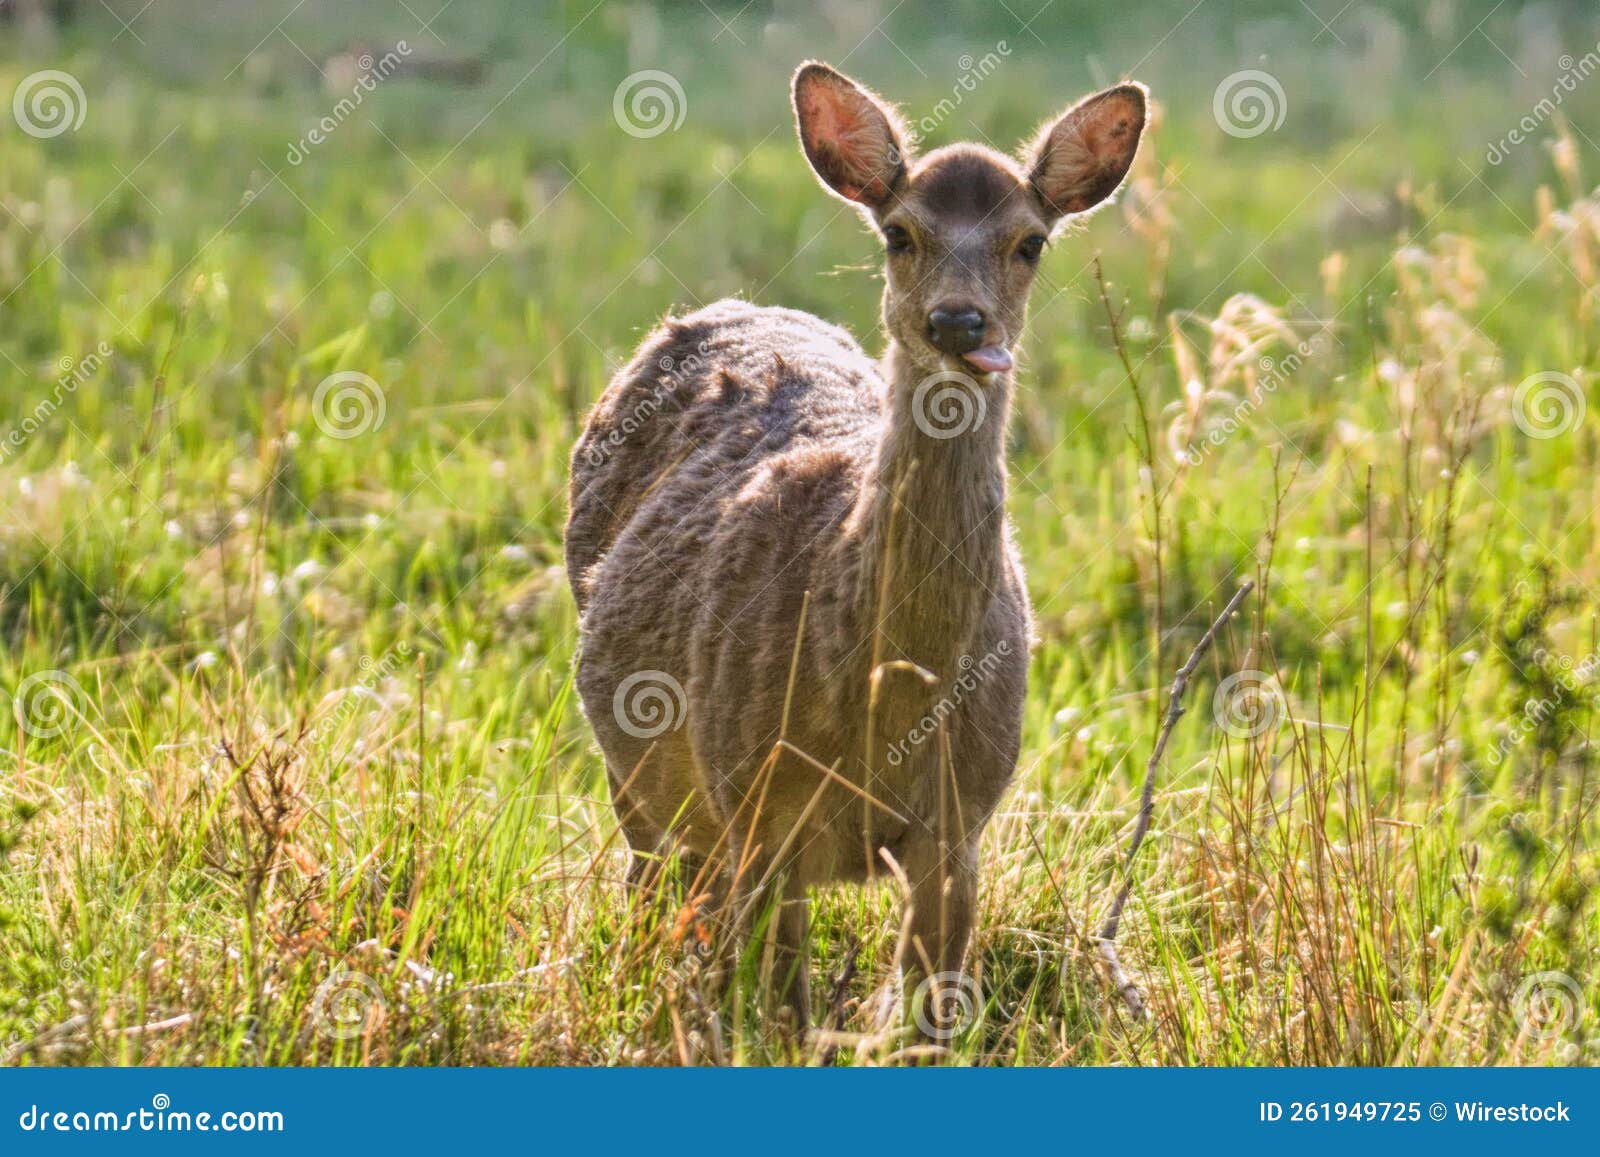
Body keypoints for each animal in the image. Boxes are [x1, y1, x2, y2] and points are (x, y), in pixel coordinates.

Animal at [566, 61, 1146, 1041]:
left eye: (1030, 241)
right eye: (899, 232)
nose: (958, 322)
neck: (884, 697)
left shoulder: (960, 827)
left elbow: (929, 1021)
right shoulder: (757, 805)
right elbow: (781, 1023)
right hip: (640, 764)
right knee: (648, 885)